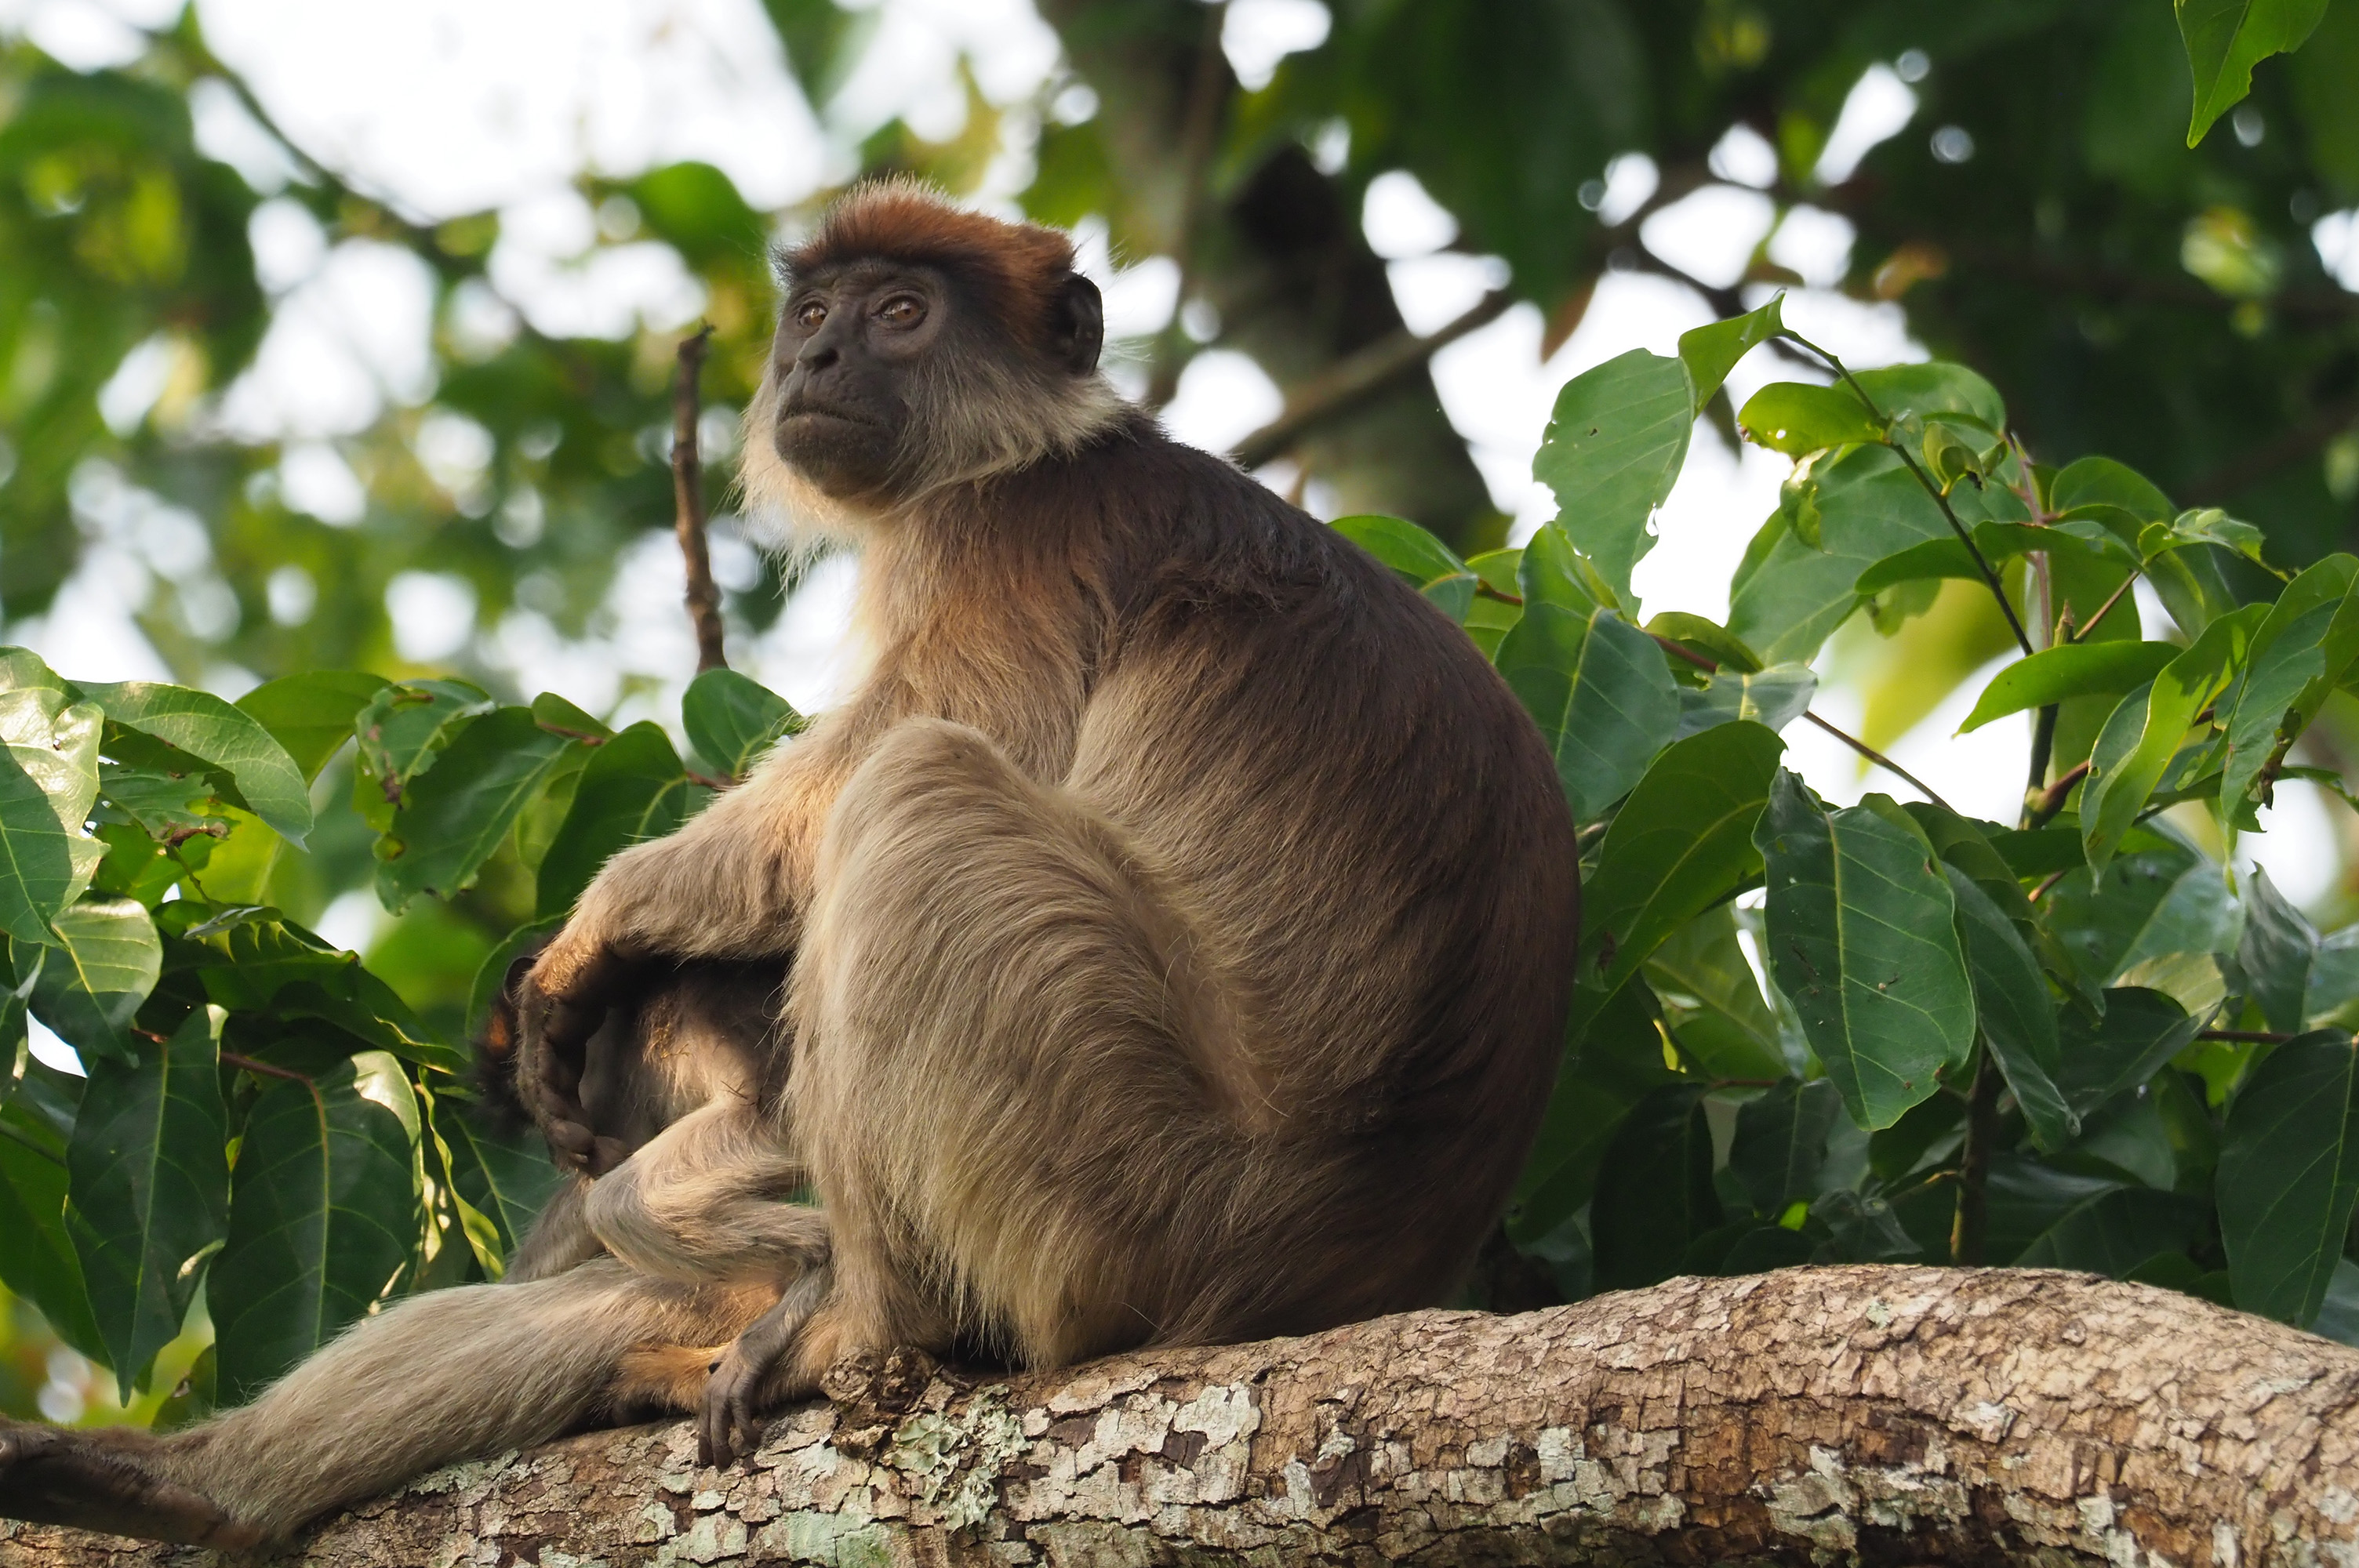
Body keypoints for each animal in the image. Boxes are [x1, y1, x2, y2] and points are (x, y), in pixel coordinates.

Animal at [9, 183, 1585, 1537]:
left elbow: (886, 760)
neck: (1032, 450)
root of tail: (1329, 1267)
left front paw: (599, 933)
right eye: (816, 311)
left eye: (901, 311)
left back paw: (868, 1329)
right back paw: (189, 1490)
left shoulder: (1005, 541)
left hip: (1136, 1191)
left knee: (919, 790)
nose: (817, 352)